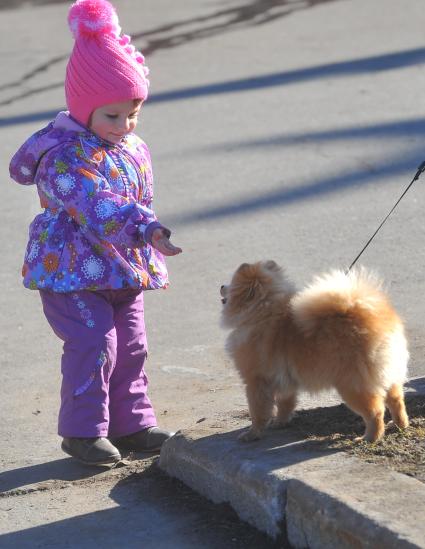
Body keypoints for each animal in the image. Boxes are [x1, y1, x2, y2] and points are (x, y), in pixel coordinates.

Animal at [219, 260, 408, 444]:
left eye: (231, 284)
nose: (221, 286)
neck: (262, 313)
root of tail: (373, 318)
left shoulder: (255, 380)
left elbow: (258, 411)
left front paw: (252, 434)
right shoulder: (284, 381)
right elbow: (285, 403)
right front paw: (281, 422)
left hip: (352, 384)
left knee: (375, 411)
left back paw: (370, 437)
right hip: (388, 374)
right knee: (396, 400)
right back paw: (399, 425)